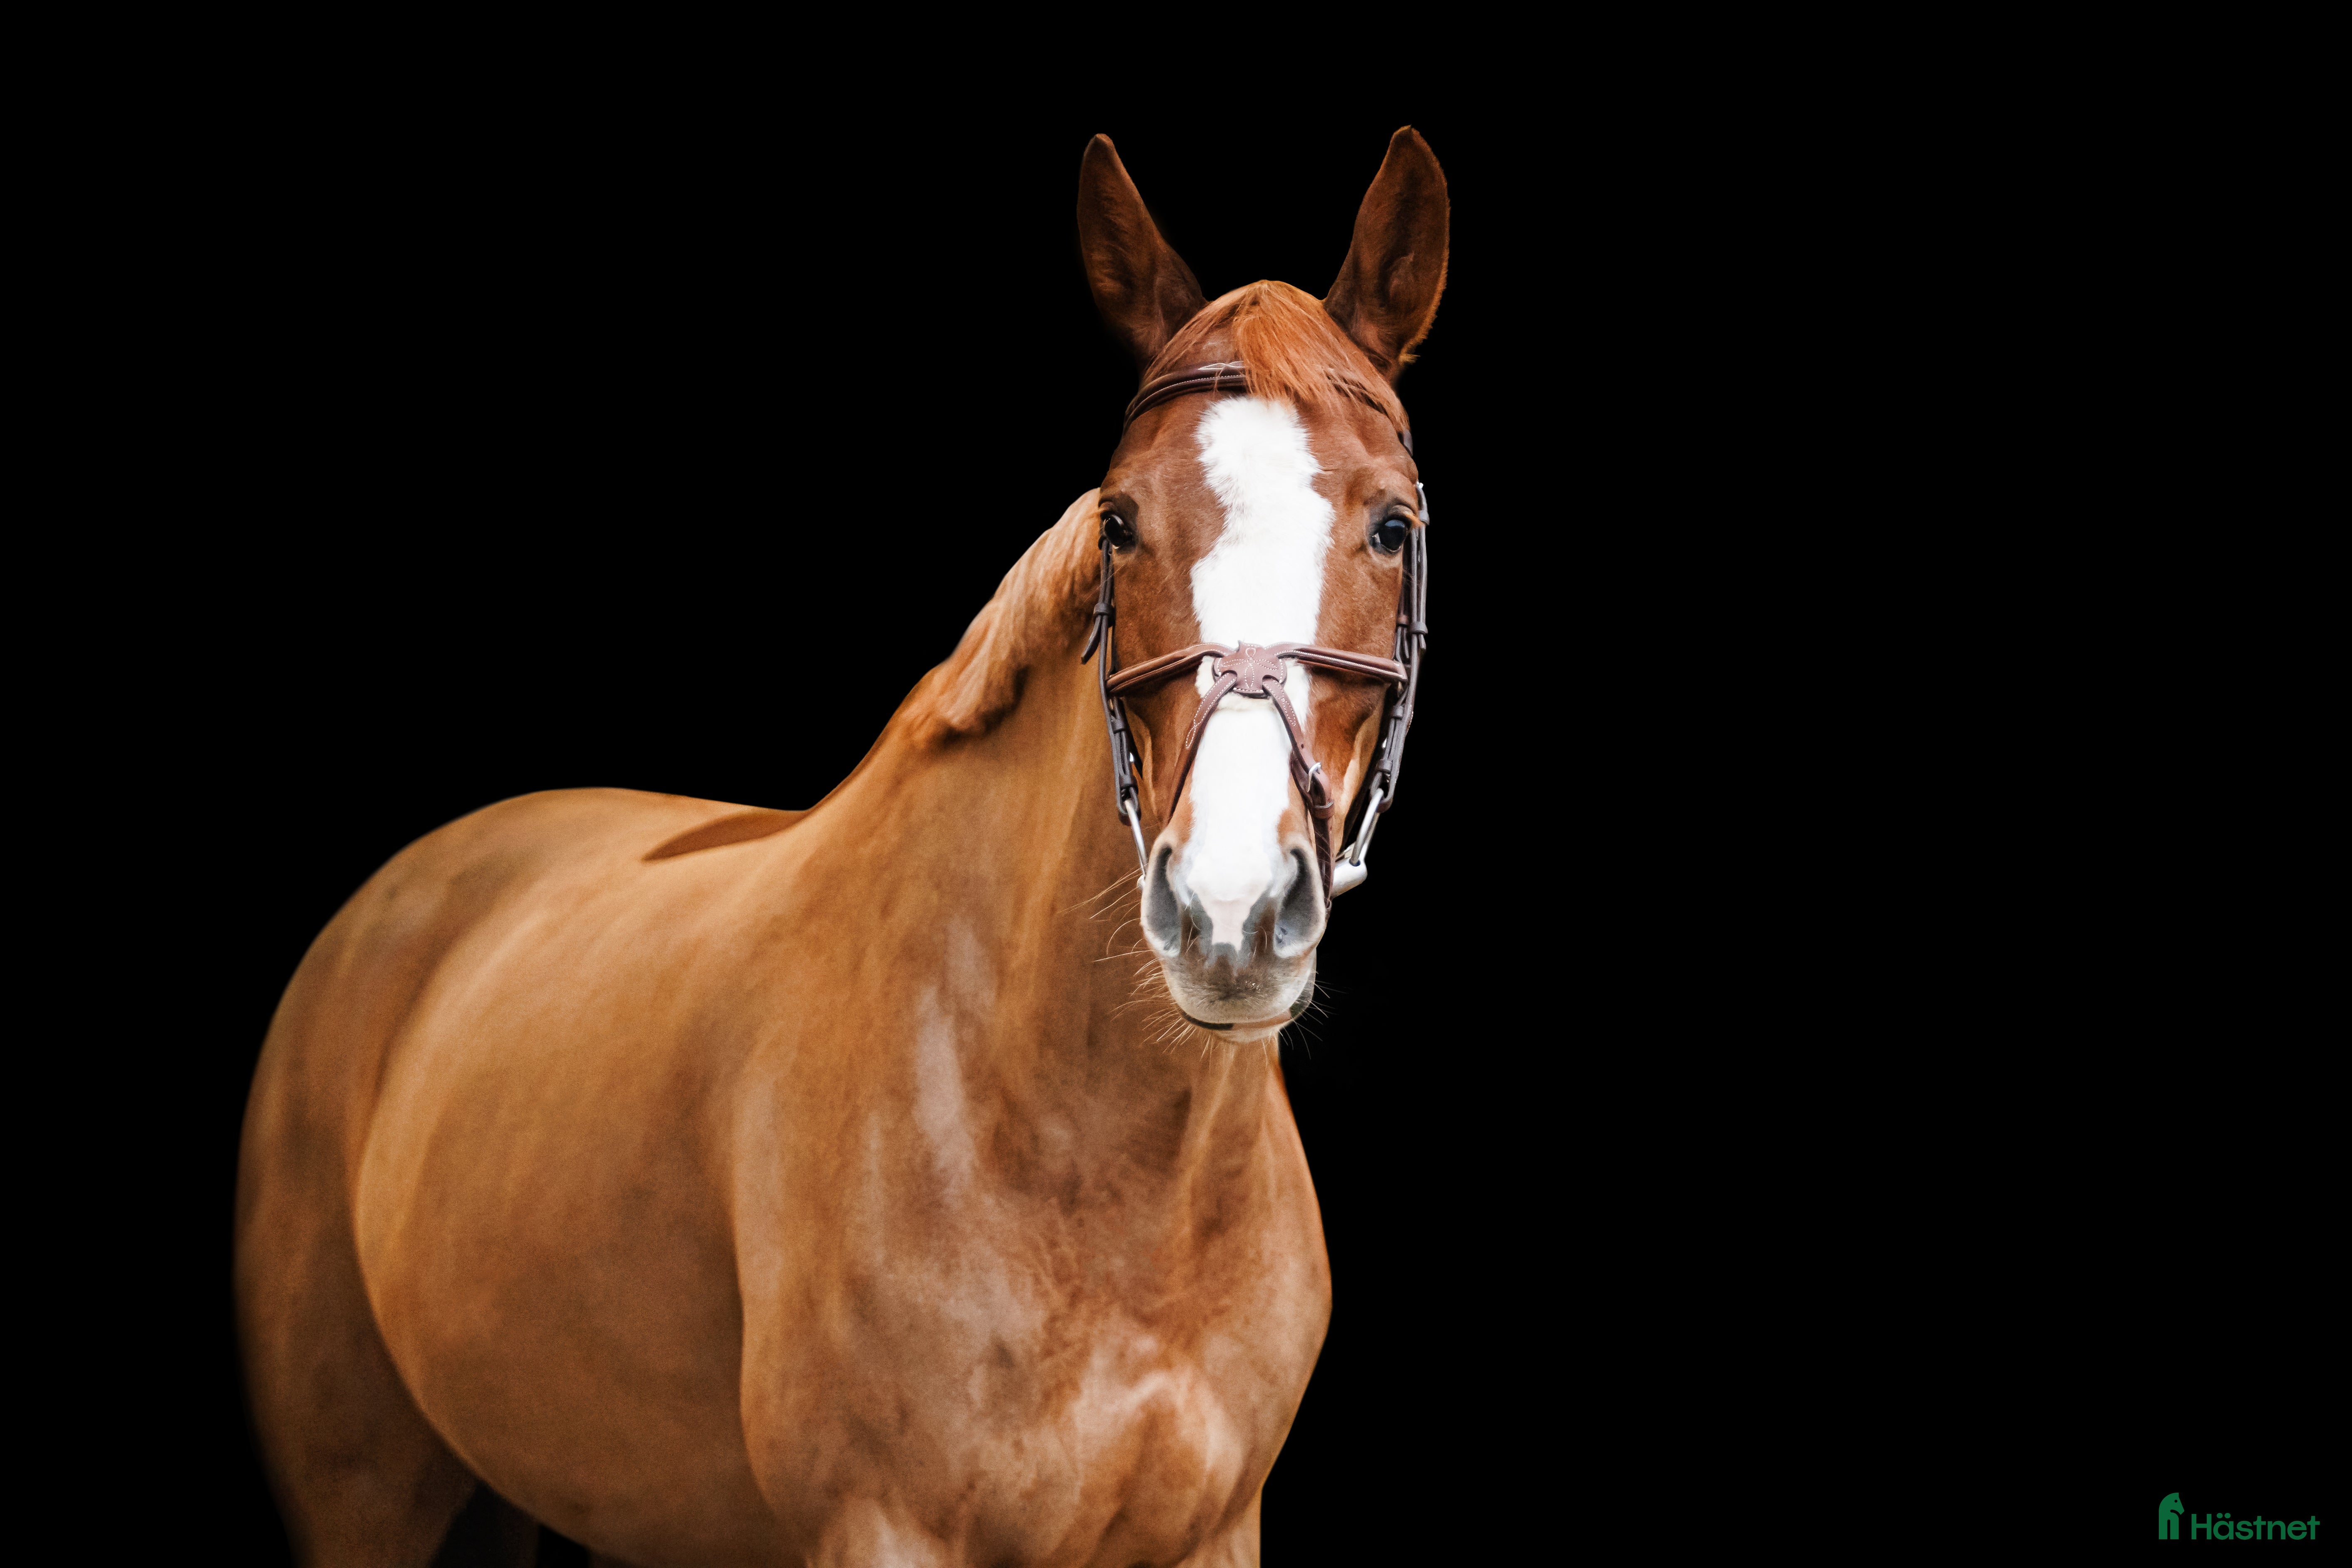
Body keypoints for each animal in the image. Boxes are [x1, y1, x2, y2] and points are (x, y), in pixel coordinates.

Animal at [237, 126, 1449, 1568]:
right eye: (1118, 521)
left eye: (1391, 524)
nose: (1228, 911)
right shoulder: (883, 1527)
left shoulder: (1212, 1532)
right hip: (363, 1494)